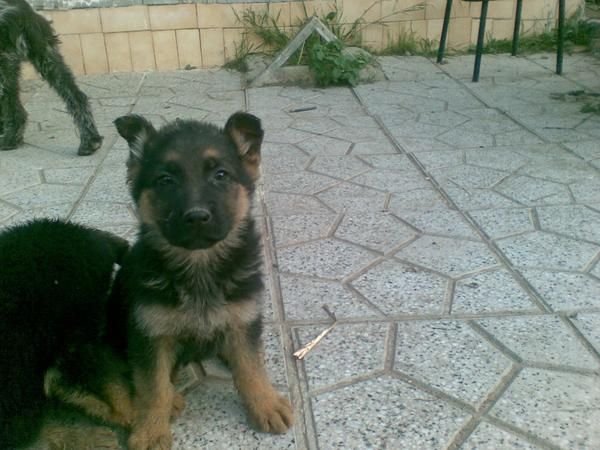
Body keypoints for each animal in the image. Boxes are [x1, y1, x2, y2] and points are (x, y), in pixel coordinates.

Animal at [113, 112, 294, 450]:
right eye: (165, 180)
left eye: (221, 175)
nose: (196, 217)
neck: (199, 265)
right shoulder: (149, 334)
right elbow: (152, 386)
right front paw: (151, 429)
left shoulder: (244, 318)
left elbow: (251, 367)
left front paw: (265, 404)